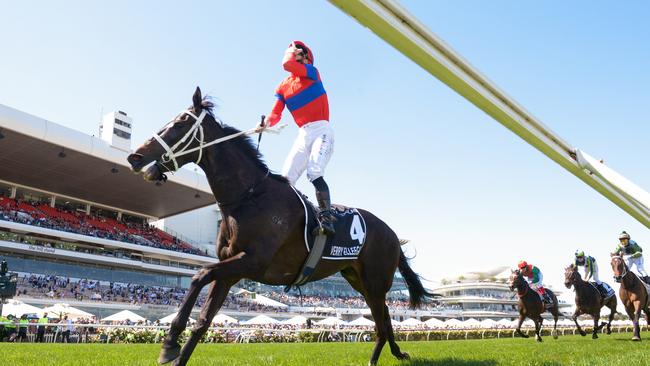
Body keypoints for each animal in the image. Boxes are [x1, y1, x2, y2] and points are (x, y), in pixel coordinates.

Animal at [125, 88, 436, 366]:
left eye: (179, 123)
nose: (135, 157)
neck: (249, 197)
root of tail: (392, 233)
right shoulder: (230, 270)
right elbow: (203, 319)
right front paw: (175, 351)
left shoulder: (252, 262)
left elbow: (199, 275)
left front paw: (170, 342)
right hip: (358, 278)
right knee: (384, 313)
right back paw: (398, 353)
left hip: (375, 279)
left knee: (382, 319)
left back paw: (376, 359)